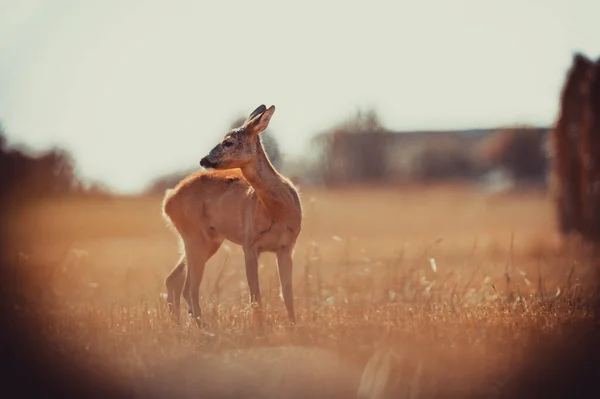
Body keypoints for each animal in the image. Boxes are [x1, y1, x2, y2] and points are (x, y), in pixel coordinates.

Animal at [162, 104, 302, 326]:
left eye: (228, 142)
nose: (203, 159)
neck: (276, 212)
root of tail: (168, 199)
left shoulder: (287, 246)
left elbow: (287, 293)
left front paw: (293, 327)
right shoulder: (249, 244)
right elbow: (255, 296)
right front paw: (260, 329)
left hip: (209, 241)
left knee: (175, 281)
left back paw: (180, 326)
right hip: (195, 237)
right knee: (189, 287)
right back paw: (202, 327)